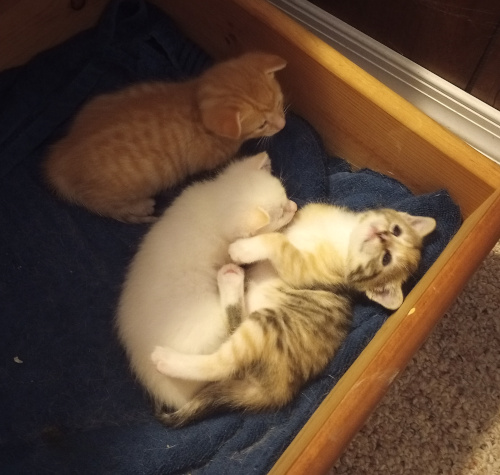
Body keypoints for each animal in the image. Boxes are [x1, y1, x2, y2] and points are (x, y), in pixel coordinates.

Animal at [44, 52, 286, 223]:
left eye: (279, 103)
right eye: (262, 124)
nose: (282, 125)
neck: (194, 101)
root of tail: (58, 159)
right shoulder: (207, 160)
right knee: (105, 207)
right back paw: (139, 208)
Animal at [150, 203, 436, 426]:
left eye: (386, 259)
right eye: (396, 230)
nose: (382, 235)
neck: (343, 238)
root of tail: (278, 391)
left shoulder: (305, 270)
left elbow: (277, 242)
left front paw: (242, 248)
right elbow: (279, 230)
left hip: (265, 326)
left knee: (222, 365)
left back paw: (166, 359)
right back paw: (231, 279)